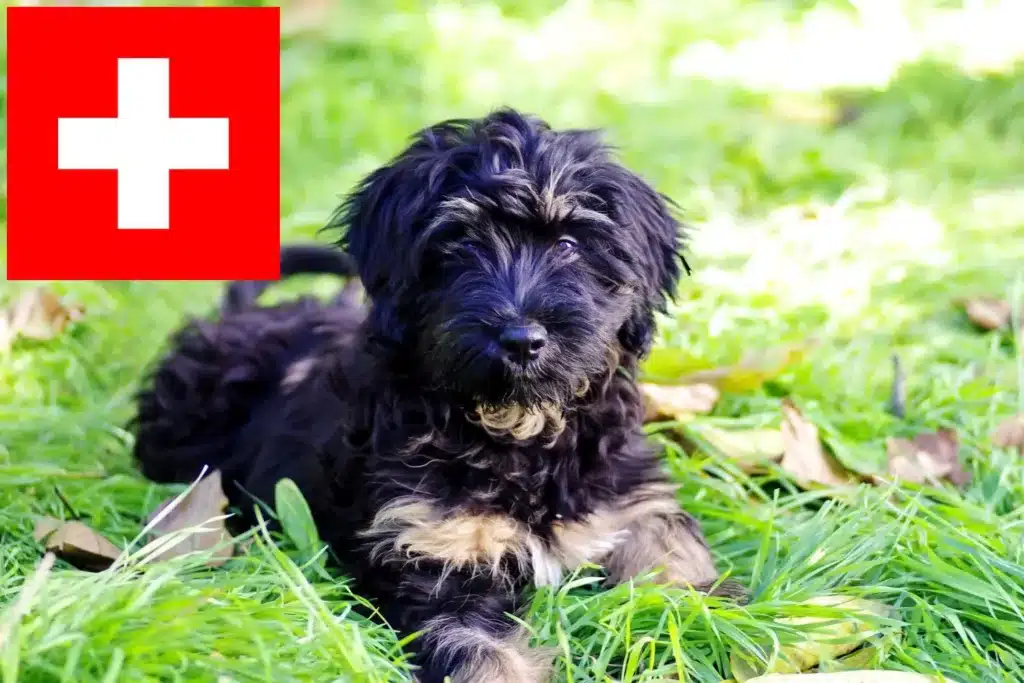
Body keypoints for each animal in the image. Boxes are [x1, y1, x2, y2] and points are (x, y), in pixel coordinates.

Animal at [132, 109, 737, 683]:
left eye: (568, 245)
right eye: (461, 244)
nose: (522, 338)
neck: (517, 434)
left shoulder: (632, 504)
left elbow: (676, 568)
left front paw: (706, 627)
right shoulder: (431, 552)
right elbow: (479, 650)